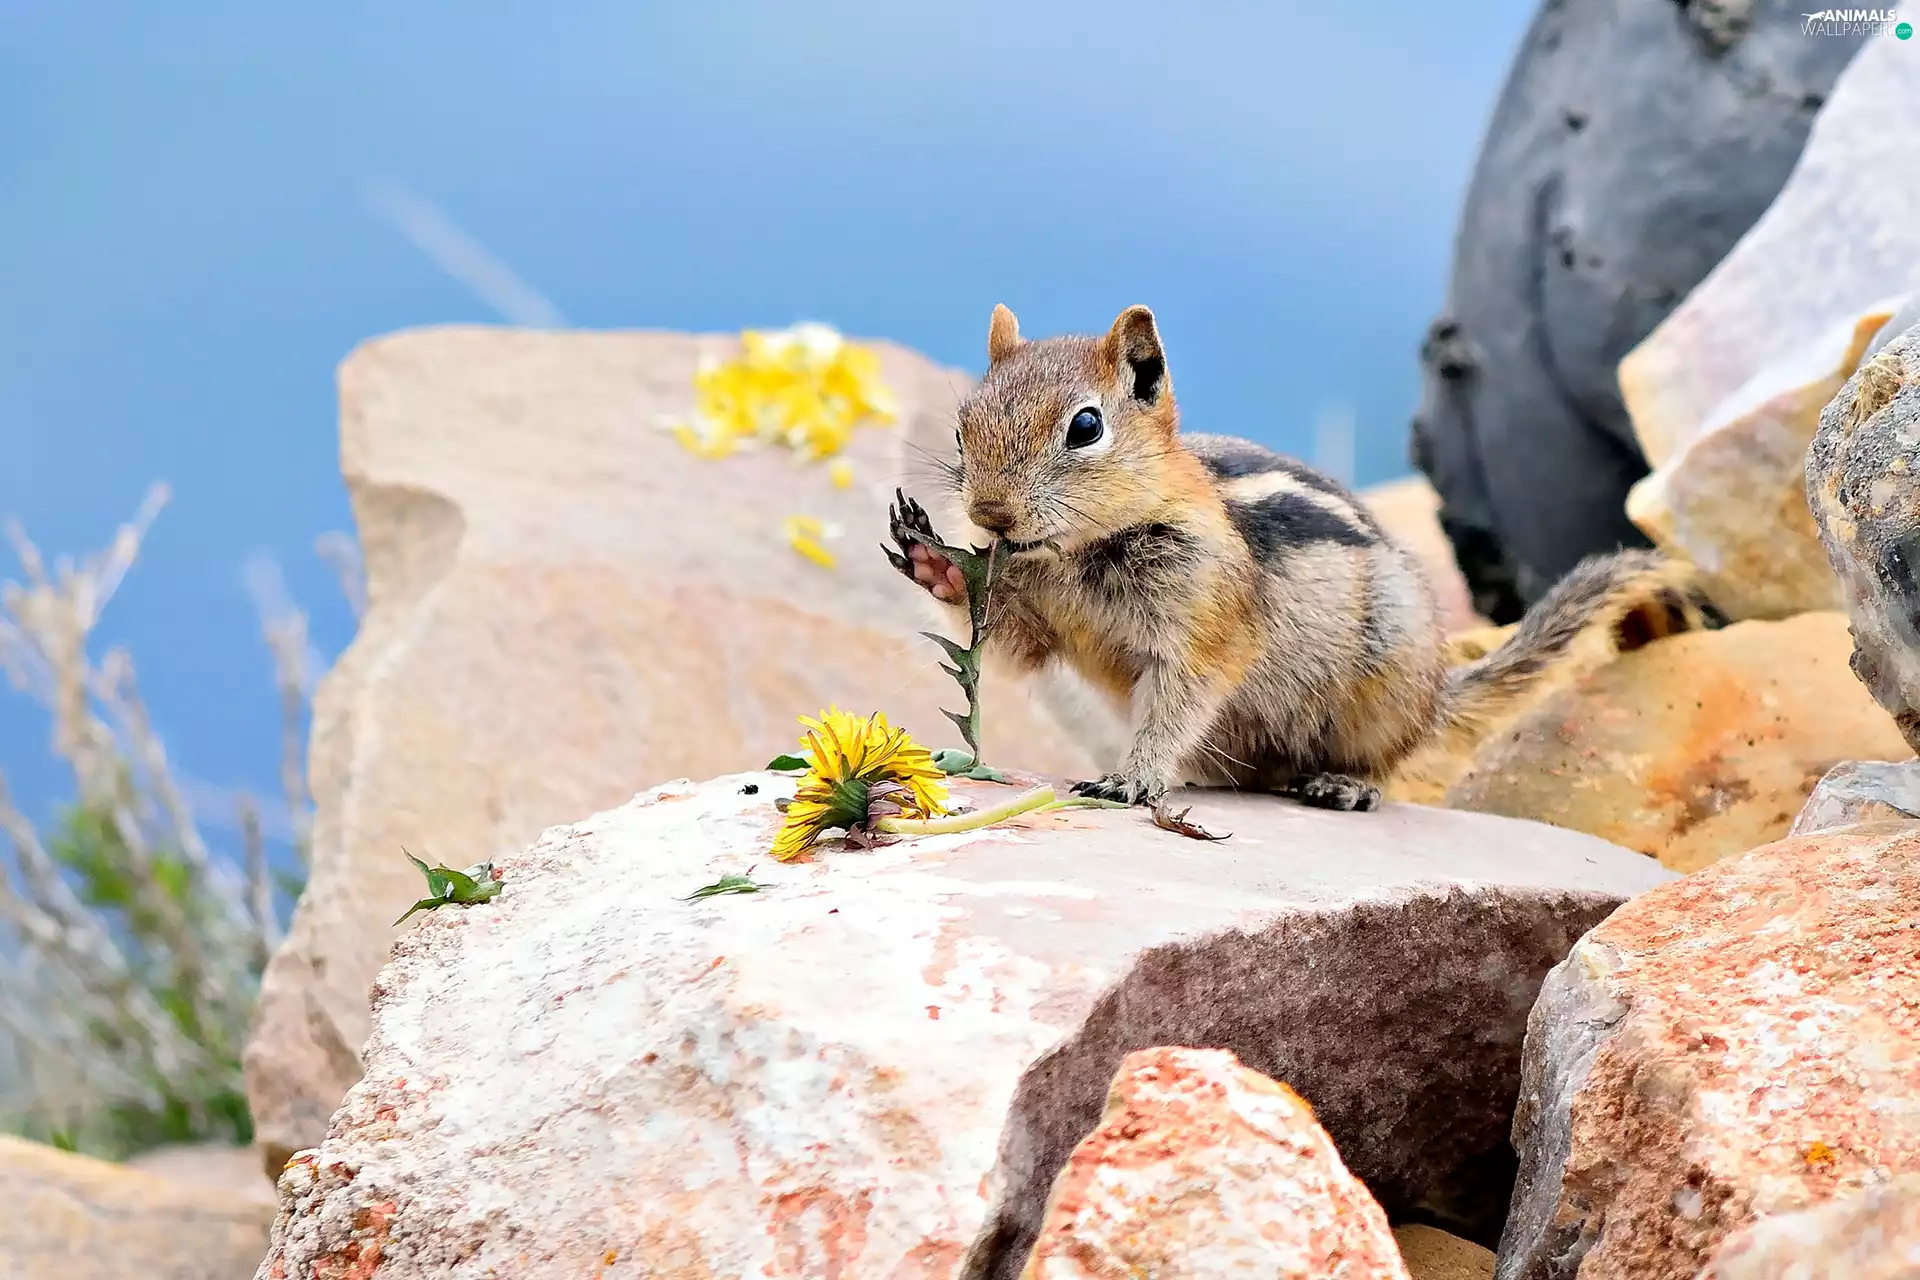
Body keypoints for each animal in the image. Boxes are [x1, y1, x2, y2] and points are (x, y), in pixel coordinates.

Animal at [884, 303, 1720, 812]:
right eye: (962, 428)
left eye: (1086, 427)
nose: (991, 514)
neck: (1080, 555)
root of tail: (1436, 695)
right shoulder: (1038, 614)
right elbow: (1015, 645)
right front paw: (933, 561)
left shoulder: (1207, 629)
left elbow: (1180, 700)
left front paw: (1132, 778)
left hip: (1382, 686)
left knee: (1386, 762)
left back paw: (1342, 785)